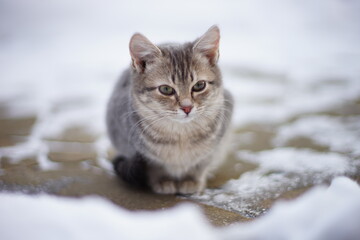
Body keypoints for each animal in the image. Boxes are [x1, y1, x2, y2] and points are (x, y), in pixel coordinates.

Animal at [105, 25, 233, 195]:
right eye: (166, 89)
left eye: (199, 85)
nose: (187, 107)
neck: (181, 136)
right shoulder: (141, 152)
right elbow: (155, 167)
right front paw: (163, 180)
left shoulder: (215, 145)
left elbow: (201, 164)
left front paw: (191, 180)